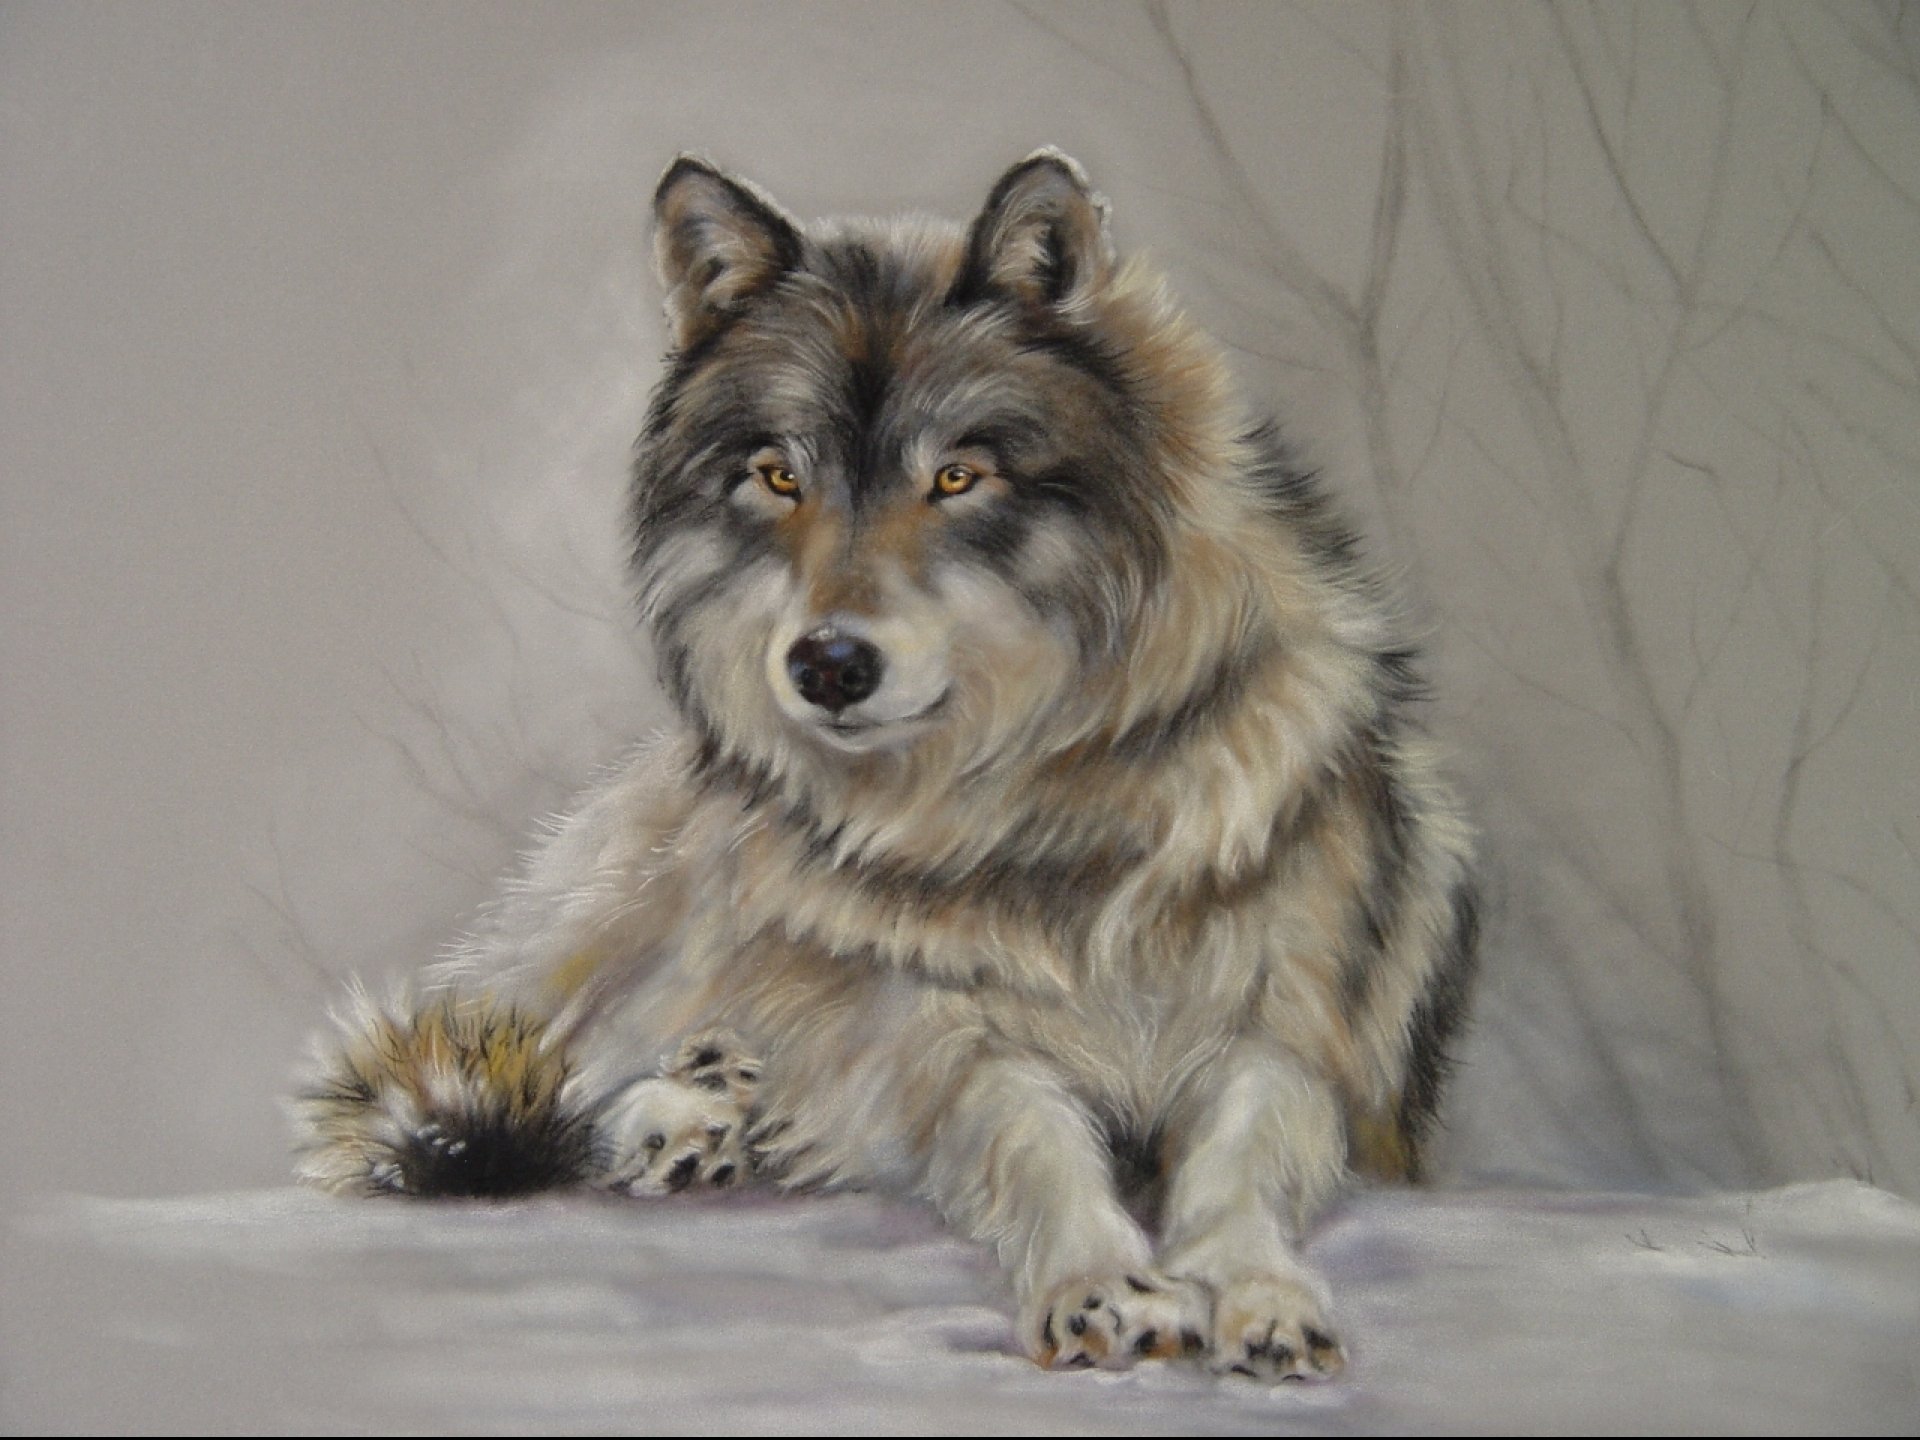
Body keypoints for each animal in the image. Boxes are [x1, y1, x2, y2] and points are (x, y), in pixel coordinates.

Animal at [295, 150, 1479, 1380]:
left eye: (957, 478)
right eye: (779, 476)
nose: (826, 664)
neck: (1047, 810)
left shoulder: (1291, 1045)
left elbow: (1237, 1169)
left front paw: (1261, 1296)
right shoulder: (942, 1041)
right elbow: (1034, 1139)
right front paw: (1102, 1285)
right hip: (656, 917)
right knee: (556, 1058)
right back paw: (684, 1119)